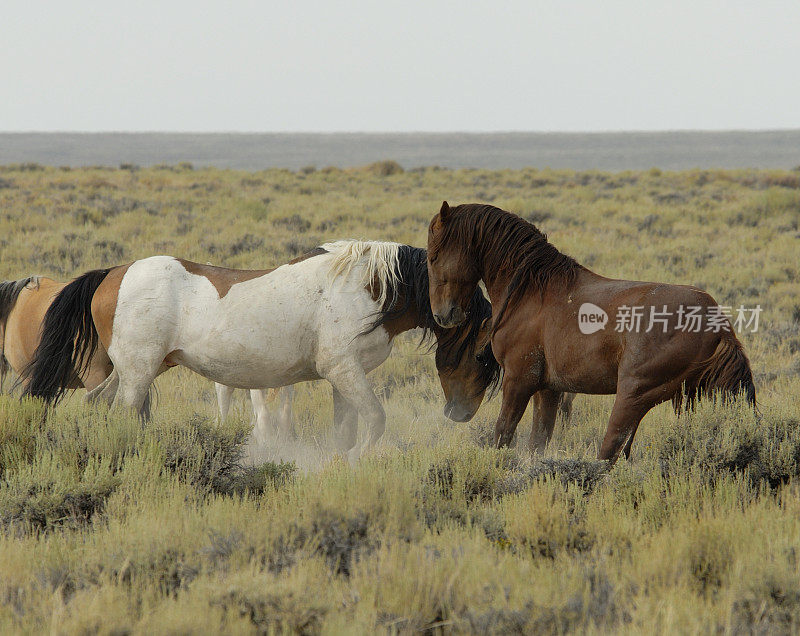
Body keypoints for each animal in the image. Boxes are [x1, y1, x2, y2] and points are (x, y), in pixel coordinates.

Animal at [25, 238, 496, 452]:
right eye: (481, 354)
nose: (461, 414)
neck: (369, 287)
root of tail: (114, 273)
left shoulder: (342, 379)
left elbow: (345, 429)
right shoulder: (344, 370)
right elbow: (375, 421)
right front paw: (358, 460)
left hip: (135, 371)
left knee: (95, 403)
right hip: (138, 374)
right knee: (121, 416)